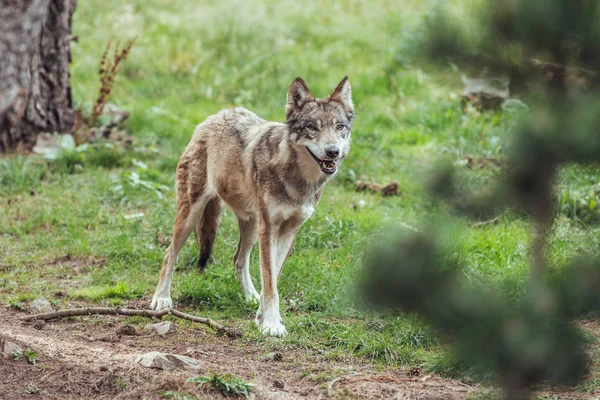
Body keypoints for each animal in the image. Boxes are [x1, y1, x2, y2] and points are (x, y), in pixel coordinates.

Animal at [152, 76, 354, 336]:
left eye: (339, 127)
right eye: (312, 127)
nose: (333, 152)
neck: (298, 181)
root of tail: (216, 116)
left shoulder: (289, 232)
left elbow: (272, 279)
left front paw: (263, 317)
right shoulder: (269, 229)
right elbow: (270, 281)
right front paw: (271, 324)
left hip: (250, 225)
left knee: (238, 259)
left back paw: (250, 296)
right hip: (192, 214)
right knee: (170, 253)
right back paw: (161, 299)